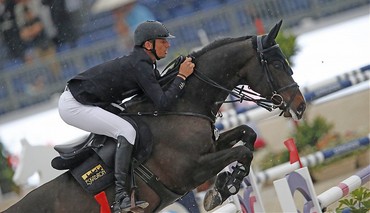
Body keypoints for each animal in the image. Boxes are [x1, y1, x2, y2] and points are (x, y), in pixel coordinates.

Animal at [4, 20, 304, 213]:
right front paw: (225, 187)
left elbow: (247, 134)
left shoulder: (211, 147)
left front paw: (224, 186)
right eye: (277, 64)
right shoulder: (191, 170)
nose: (299, 107)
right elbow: (243, 152)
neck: (182, 106)